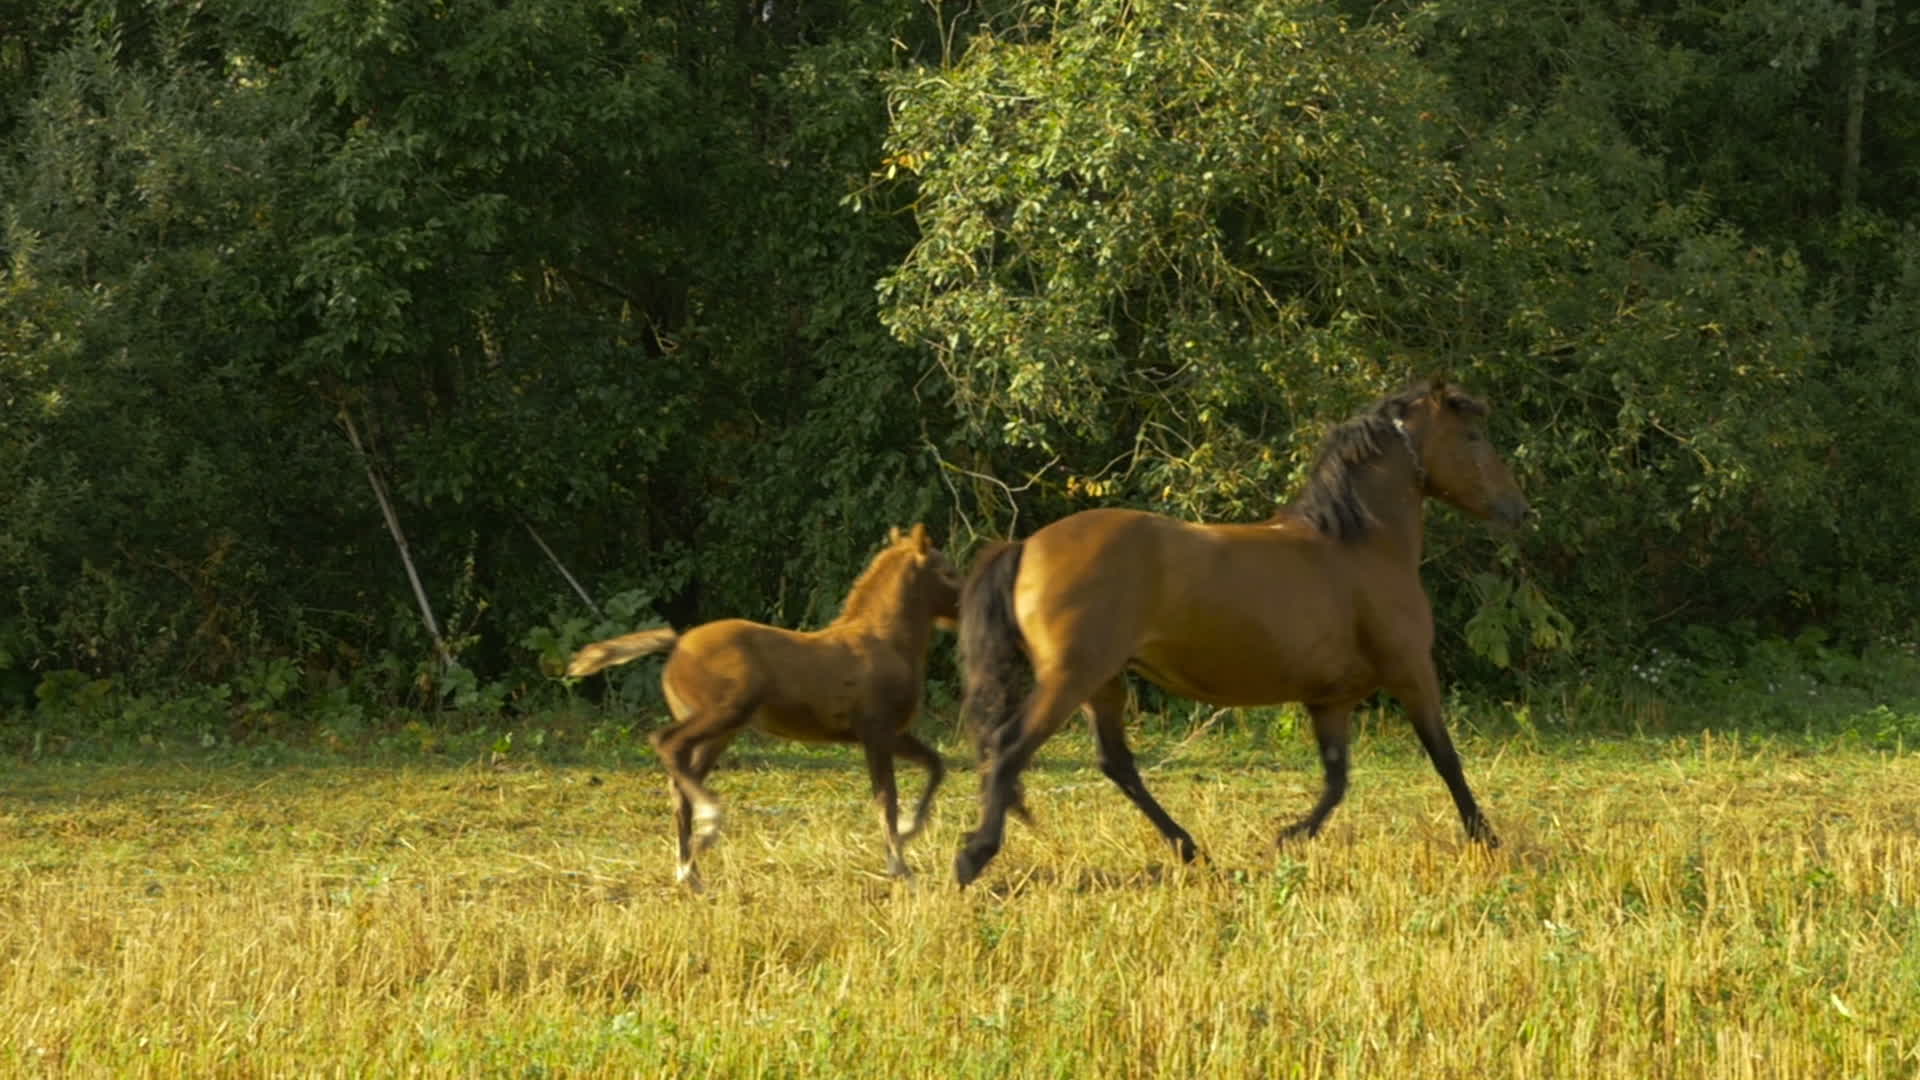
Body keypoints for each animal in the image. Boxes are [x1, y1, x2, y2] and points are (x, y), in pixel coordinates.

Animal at [564, 518, 960, 883]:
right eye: (948, 572)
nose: (964, 609)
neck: (886, 640)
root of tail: (677, 645)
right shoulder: (876, 731)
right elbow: (886, 799)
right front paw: (900, 865)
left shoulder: (891, 733)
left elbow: (936, 764)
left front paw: (909, 832)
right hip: (723, 712)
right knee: (666, 742)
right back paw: (709, 825)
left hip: (721, 731)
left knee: (679, 781)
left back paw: (690, 871)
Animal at [956, 378, 1528, 883]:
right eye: (1472, 436)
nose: (1518, 508)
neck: (1359, 545)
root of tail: (1026, 546)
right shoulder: (1412, 671)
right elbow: (1444, 757)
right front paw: (1488, 840)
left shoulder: (1331, 701)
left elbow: (1336, 778)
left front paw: (1288, 838)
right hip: (1071, 677)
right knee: (1011, 746)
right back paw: (974, 856)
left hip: (1103, 683)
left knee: (1116, 764)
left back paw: (1191, 851)